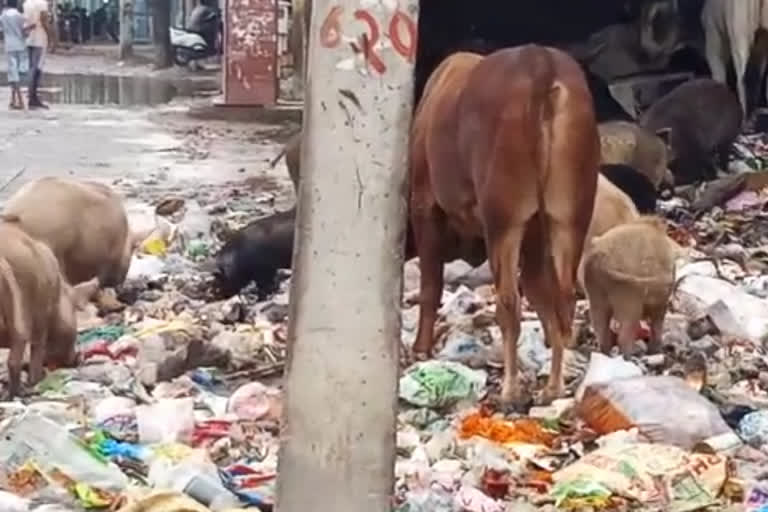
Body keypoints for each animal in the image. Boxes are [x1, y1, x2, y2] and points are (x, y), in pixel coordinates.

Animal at [414, 46, 600, 406]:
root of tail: (541, 64)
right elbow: (540, 291)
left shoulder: (425, 204)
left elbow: (430, 287)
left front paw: (420, 349)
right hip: (569, 215)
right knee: (564, 298)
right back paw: (553, 387)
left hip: (503, 218)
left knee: (509, 303)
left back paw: (510, 389)